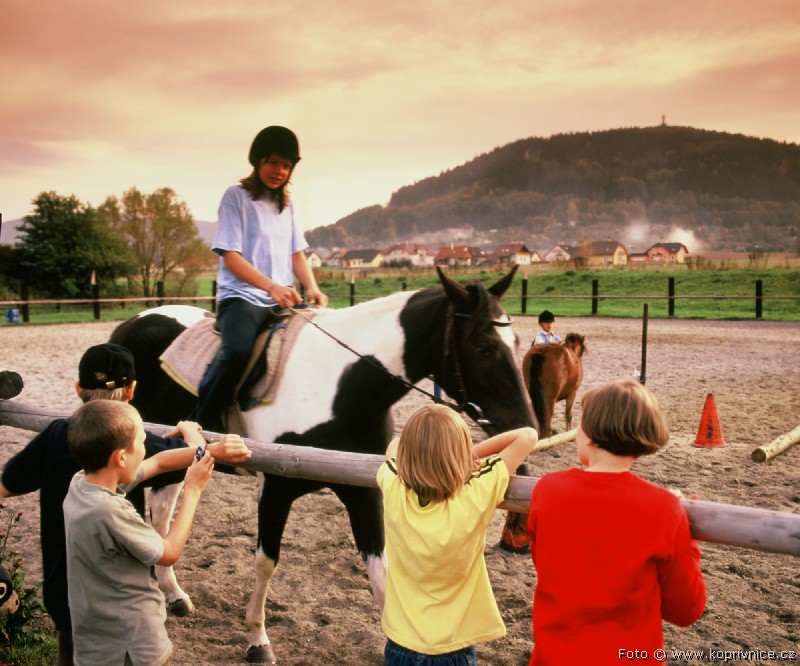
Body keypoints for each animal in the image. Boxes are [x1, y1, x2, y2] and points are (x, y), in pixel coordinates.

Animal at [109, 268, 536, 660]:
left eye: (515, 341)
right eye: (482, 347)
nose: (527, 424)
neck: (340, 388)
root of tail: (131, 324)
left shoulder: (363, 491)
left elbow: (380, 571)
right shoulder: (276, 488)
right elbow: (265, 562)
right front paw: (257, 640)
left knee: (163, 510)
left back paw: (175, 594)